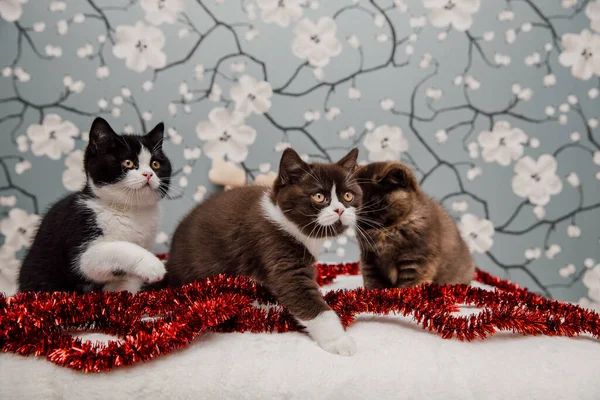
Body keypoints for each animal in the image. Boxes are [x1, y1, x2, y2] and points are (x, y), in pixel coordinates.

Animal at [18, 117, 172, 292]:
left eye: (155, 165)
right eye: (128, 163)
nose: (148, 174)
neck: (131, 210)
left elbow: (127, 280)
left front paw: (124, 292)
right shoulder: (80, 233)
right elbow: (115, 250)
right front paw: (152, 265)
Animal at [165, 148, 360, 356]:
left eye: (348, 196)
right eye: (319, 197)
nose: (340, 210)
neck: (289, 224)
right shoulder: (272, 243)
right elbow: (300, 291)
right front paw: (339, 341)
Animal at [354, 161, 476, 290]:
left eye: (375, 205)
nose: (361, 216)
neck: (387, 232)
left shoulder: (415, 263)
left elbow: (407, 287)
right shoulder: (369, 261)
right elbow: (373, 284)